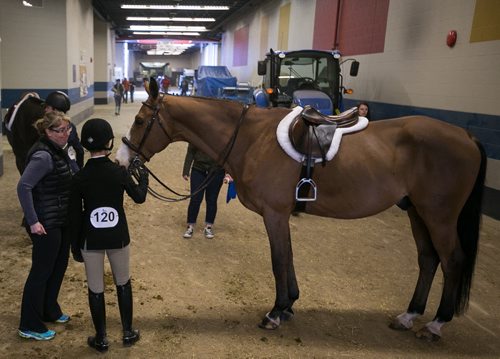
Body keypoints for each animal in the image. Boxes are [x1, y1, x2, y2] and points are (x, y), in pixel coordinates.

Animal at [116, 78, 484, 340]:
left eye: (140, 120)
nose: (122, 160)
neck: (253, 138)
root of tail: (465, 135)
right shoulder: (279, 215)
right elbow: (288, 257)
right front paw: (289, 305)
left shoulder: (275, 213)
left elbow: (279, 259)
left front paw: (276, 312)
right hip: (417, 212)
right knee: (428, 259)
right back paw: (409, 316)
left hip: (439, 217)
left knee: (452, 260)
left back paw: (436, 324)